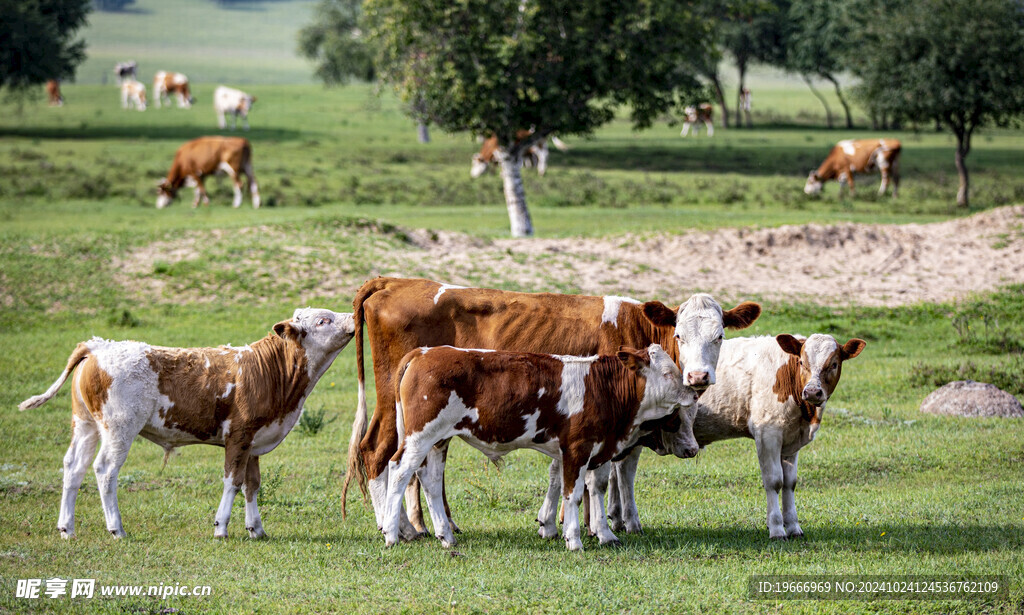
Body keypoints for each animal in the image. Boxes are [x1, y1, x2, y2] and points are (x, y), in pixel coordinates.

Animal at [18, 306, 358, 536]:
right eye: (323, 320)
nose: (354, 316)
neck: (273, 372)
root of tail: (99, 345)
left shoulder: (254, 439)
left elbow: (252, 484)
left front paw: (256, 529)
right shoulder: (238, 435)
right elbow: (232, 481)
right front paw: (221, 527)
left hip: (86, 424)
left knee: (73, 467)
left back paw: (67, 528)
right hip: (119, 428)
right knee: (104, 470)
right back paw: (116, 528)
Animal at [380, 343, 700, 548]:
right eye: (668, 373)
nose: (693, 392)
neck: (602, 388)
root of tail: (425, 352)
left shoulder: (597, 449)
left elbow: (595, 488)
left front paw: (606, 535)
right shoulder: (577, 449)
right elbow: (573, 495)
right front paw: (574, 539)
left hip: (438, 440)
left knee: (431, 480)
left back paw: (446, 536)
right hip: (420, 436)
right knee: (399, 471)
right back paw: (392, 535)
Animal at [602, 331, 868, 536]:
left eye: (833, 364)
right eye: (803, 362)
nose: (812, 391)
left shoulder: (791, 441)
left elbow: (790, 483)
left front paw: (793, 526)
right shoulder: (768, 433)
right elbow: (774, 481)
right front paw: (777, 529)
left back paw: (618, 519)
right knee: (625, 473)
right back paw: (631, 522)